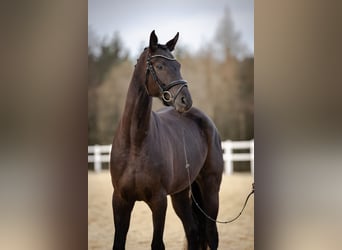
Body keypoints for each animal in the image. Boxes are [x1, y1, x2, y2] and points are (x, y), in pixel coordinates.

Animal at [110, 30, 224, 249]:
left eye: (178, 65)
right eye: (160, 66)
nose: (185, 100)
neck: (135, 143)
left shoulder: (158, 201)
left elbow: (157, 244)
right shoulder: (120, 200)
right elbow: (118, 243)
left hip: (210, 187)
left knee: (211, 234)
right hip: (180, 194)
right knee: (193, 231)